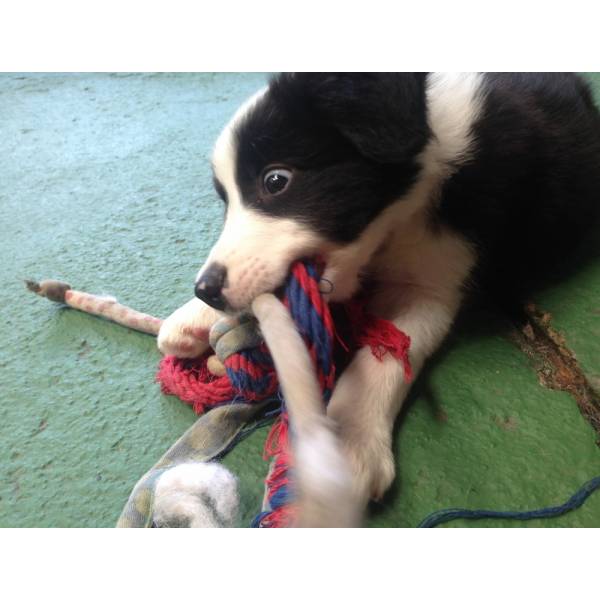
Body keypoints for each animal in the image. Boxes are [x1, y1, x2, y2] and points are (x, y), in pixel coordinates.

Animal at [158, 74, 600, 524]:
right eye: (226, 200)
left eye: (276, 180)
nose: (206, 289)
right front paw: (192, 315)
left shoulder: (434, 282)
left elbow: (382, 356)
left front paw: (345, 448)